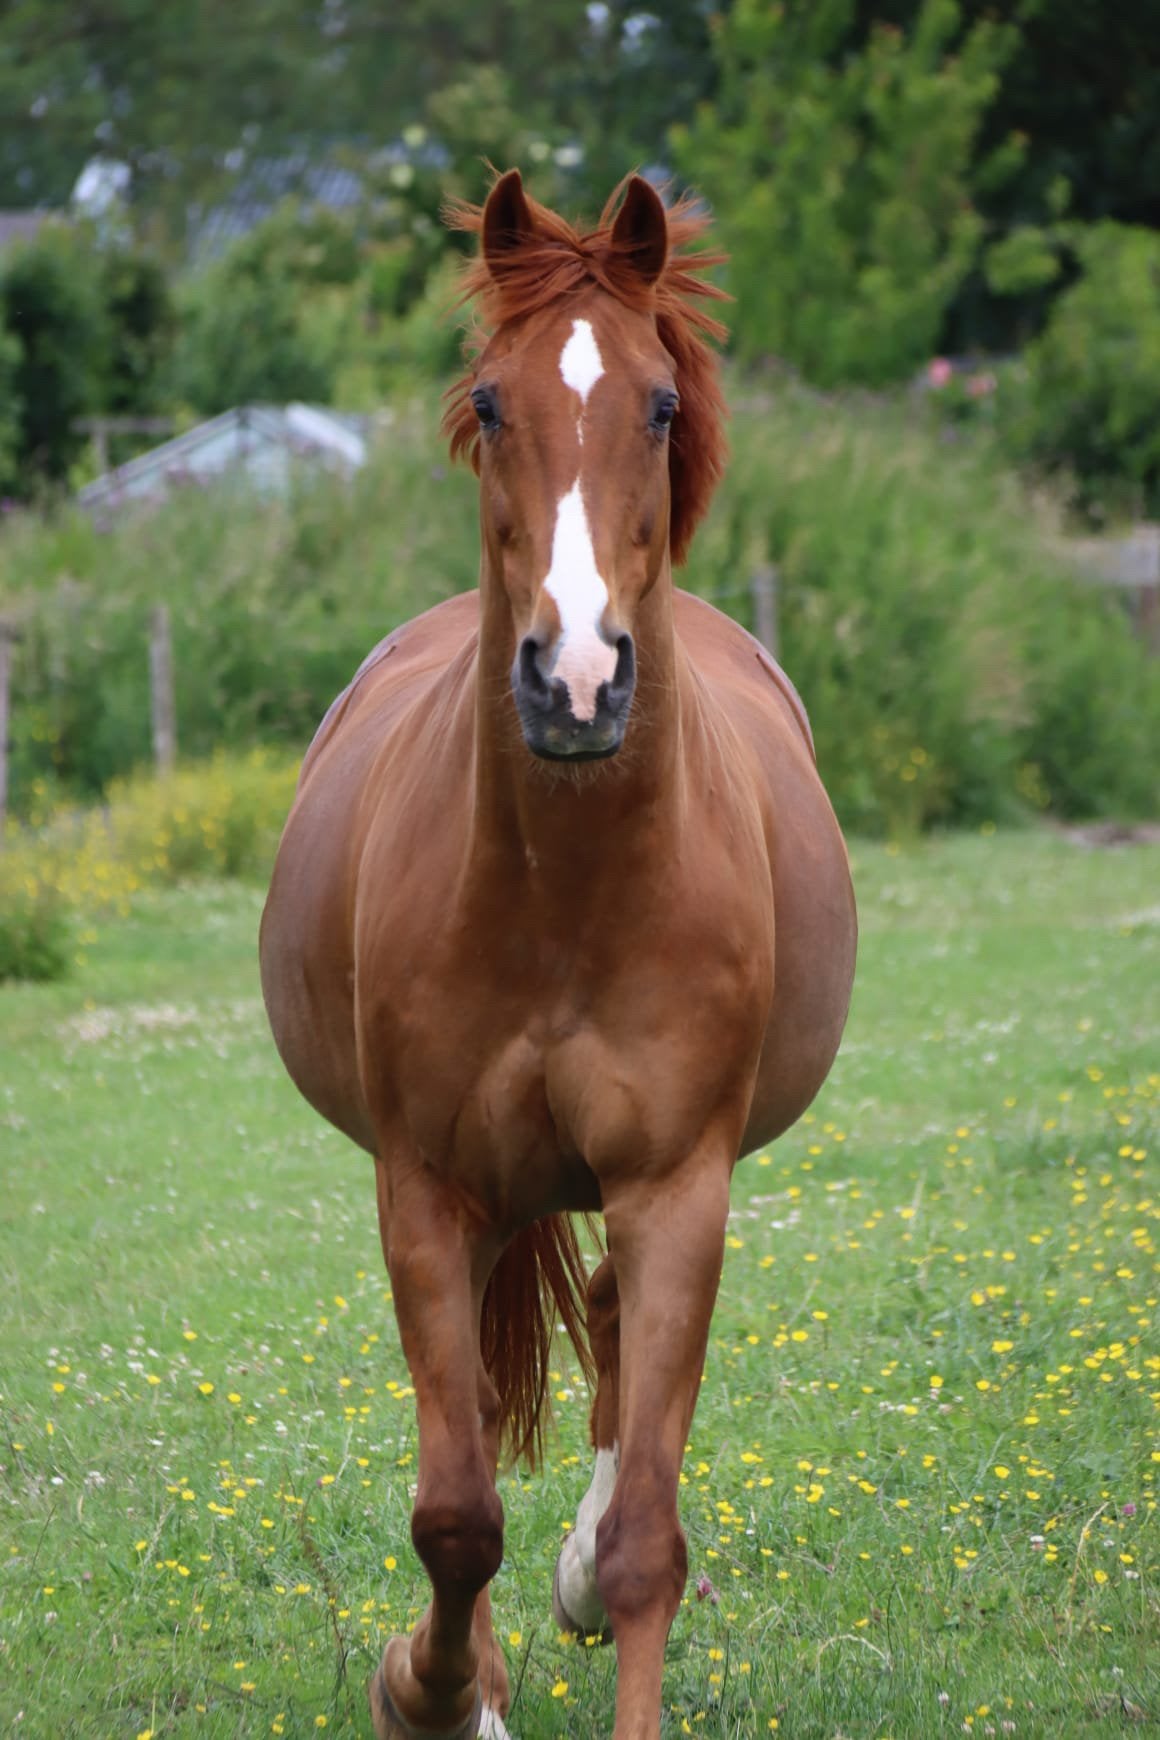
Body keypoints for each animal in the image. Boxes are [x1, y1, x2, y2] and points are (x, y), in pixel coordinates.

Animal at [260, 170, 856, 1740]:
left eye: (658, 403)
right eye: (488, 400)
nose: (577, 679)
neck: (567, 899)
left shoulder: (678, 1187)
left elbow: (648, 1538)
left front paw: (592, 1581)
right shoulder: (426, 1189)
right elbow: (455, 1512)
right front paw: (430, 1688)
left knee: (601, 1340)